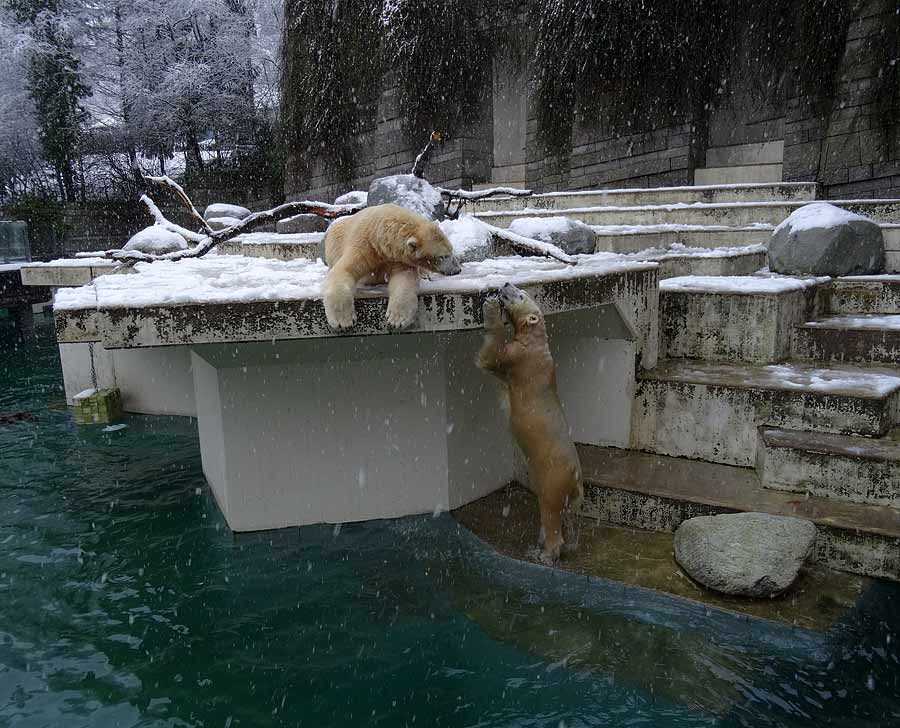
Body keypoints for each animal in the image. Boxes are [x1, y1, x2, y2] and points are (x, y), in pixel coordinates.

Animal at [322, 203, 460, 332]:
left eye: (451, 250)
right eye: (443, 256)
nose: (457, 269)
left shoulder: (398, 257)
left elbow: (404, 278)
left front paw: (396, 320)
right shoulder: (363, 245)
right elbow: (344, 270)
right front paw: (343, 322)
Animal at [478, 282, 584, 564]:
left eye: (521, 294)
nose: (504, 284)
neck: (536, 341)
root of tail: (576, 476)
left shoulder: (519, 358)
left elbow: (490, 357)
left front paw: (491, 309)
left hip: (553, 478)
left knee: (550, 510)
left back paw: (547, 552)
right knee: (566, 515)